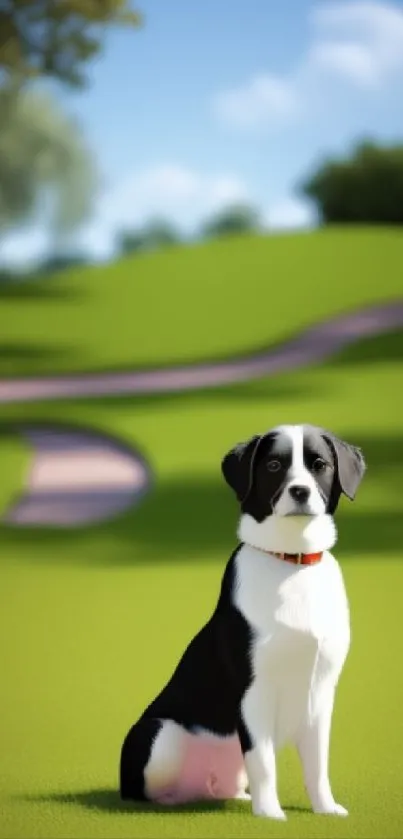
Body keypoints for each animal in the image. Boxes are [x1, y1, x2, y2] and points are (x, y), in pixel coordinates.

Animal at [120, 424, 366, 816]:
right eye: (274, 465)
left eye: (320, 465)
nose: (300, 491)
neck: (291, 561)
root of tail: (200, 789)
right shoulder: (254, 690)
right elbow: (263, 760)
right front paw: (271, 815)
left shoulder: (321, 690)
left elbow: (317, 763)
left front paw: (326, 809)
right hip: (159, 735)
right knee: (144, 787)